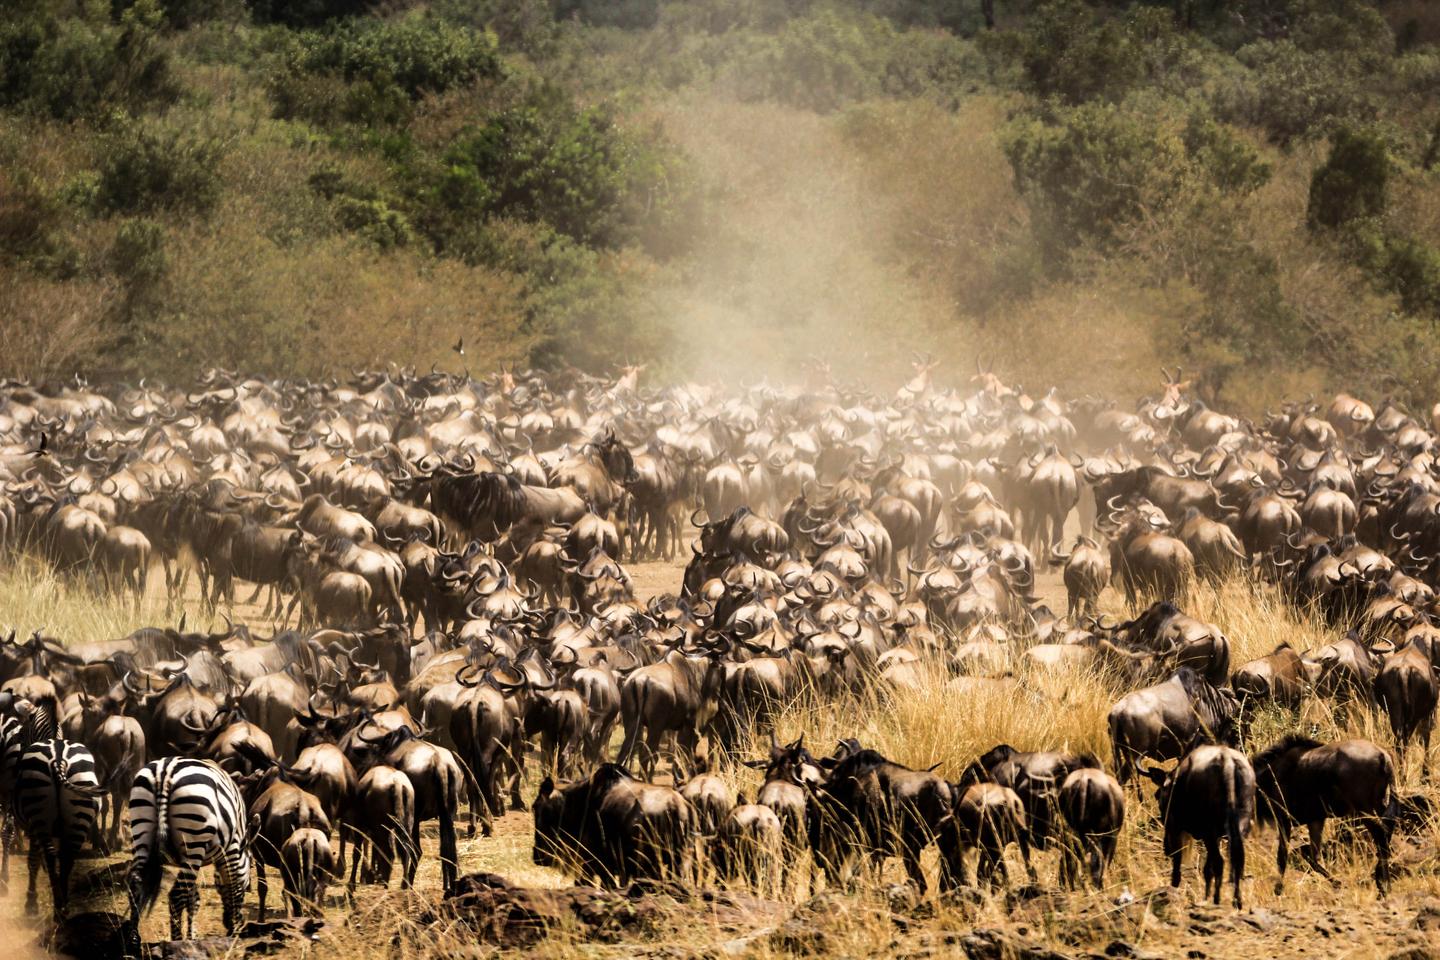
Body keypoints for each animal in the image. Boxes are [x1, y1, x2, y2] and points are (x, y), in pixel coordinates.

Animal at [9, 742, 102, 921]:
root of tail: (59, 760)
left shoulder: (32, 829)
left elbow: (33, 861)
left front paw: (31, 904)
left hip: (39, 813)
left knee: (50, 857)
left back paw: (58, 908)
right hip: (79, 815)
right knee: (68, 858)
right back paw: (63, 908)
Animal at [128, 759, 257, 938]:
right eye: (251, 865)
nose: (229, 924)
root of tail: (165, 770)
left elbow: (193, 898)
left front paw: (192, 936)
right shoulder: (232, 846)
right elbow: (233, 885)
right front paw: (233, 930)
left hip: (142, 832)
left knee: (136, 886)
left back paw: (132, 939)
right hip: (193, 840)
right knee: (175, 896)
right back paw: (177, 940)